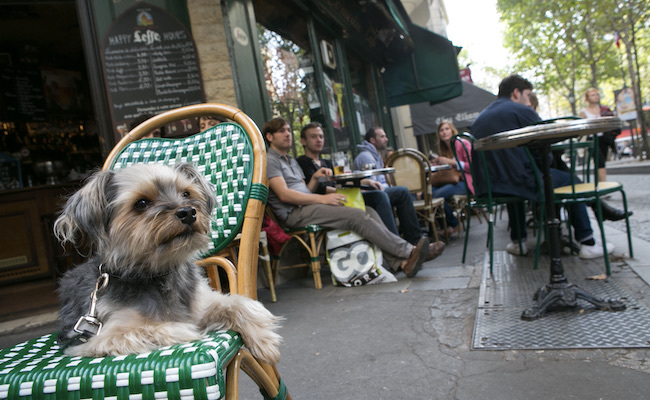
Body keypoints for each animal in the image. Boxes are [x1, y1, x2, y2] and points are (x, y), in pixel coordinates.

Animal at [53, 163, 280, 366]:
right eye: (141, 203)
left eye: (186, 193)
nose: (188, 212)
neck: (159, 272)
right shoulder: (100, 338)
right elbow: (159, 328)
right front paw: (190, 329)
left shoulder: (202, 304)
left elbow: (239, 304)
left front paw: (265, 342)